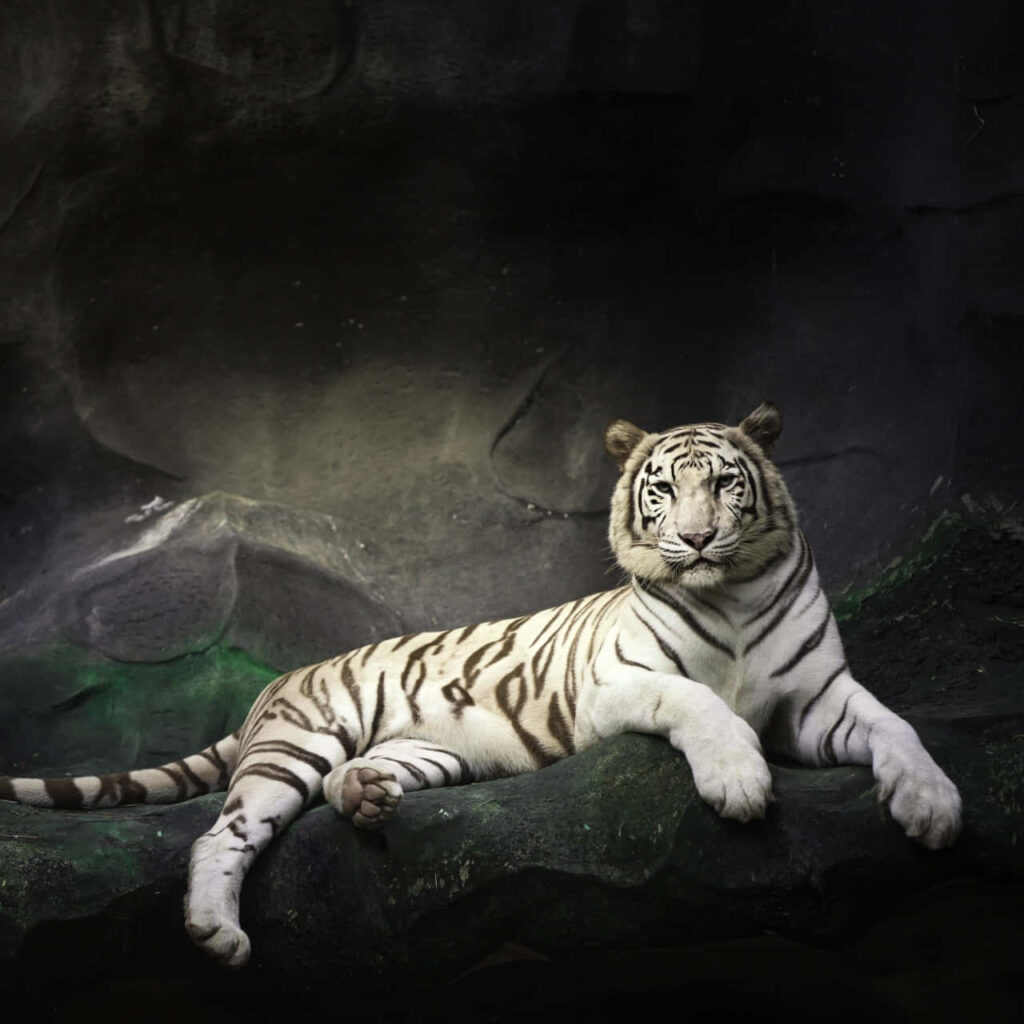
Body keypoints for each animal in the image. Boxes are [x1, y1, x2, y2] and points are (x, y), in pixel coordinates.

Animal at [0, 402, 962, 968]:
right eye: (662, 490)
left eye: (725, 483)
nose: (693, 540)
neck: (726, 592)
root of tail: (278, 684)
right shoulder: (617, 682)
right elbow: (697, 701)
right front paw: (738, 782)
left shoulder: (819, 698)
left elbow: (899, 728)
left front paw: (933, 807)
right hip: (295, 746)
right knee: (221, 834)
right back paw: (216, 929)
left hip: (428, 751)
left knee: (350, 783)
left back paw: (367, 799)